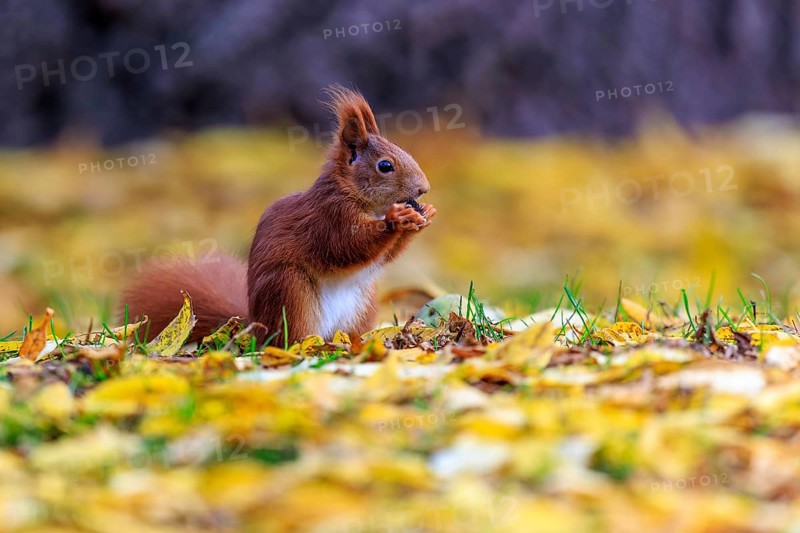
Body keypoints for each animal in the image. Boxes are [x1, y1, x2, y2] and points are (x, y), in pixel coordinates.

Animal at [121, 86, 436, 346]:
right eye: (385, 166)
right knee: (290, 338)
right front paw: (396, 219)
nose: (424, 188)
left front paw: (423, 216)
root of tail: (256, 328)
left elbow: (383, 256)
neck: (359, 198)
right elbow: (347, 245)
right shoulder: (329, 217)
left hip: (362, 302)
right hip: (290, 291)